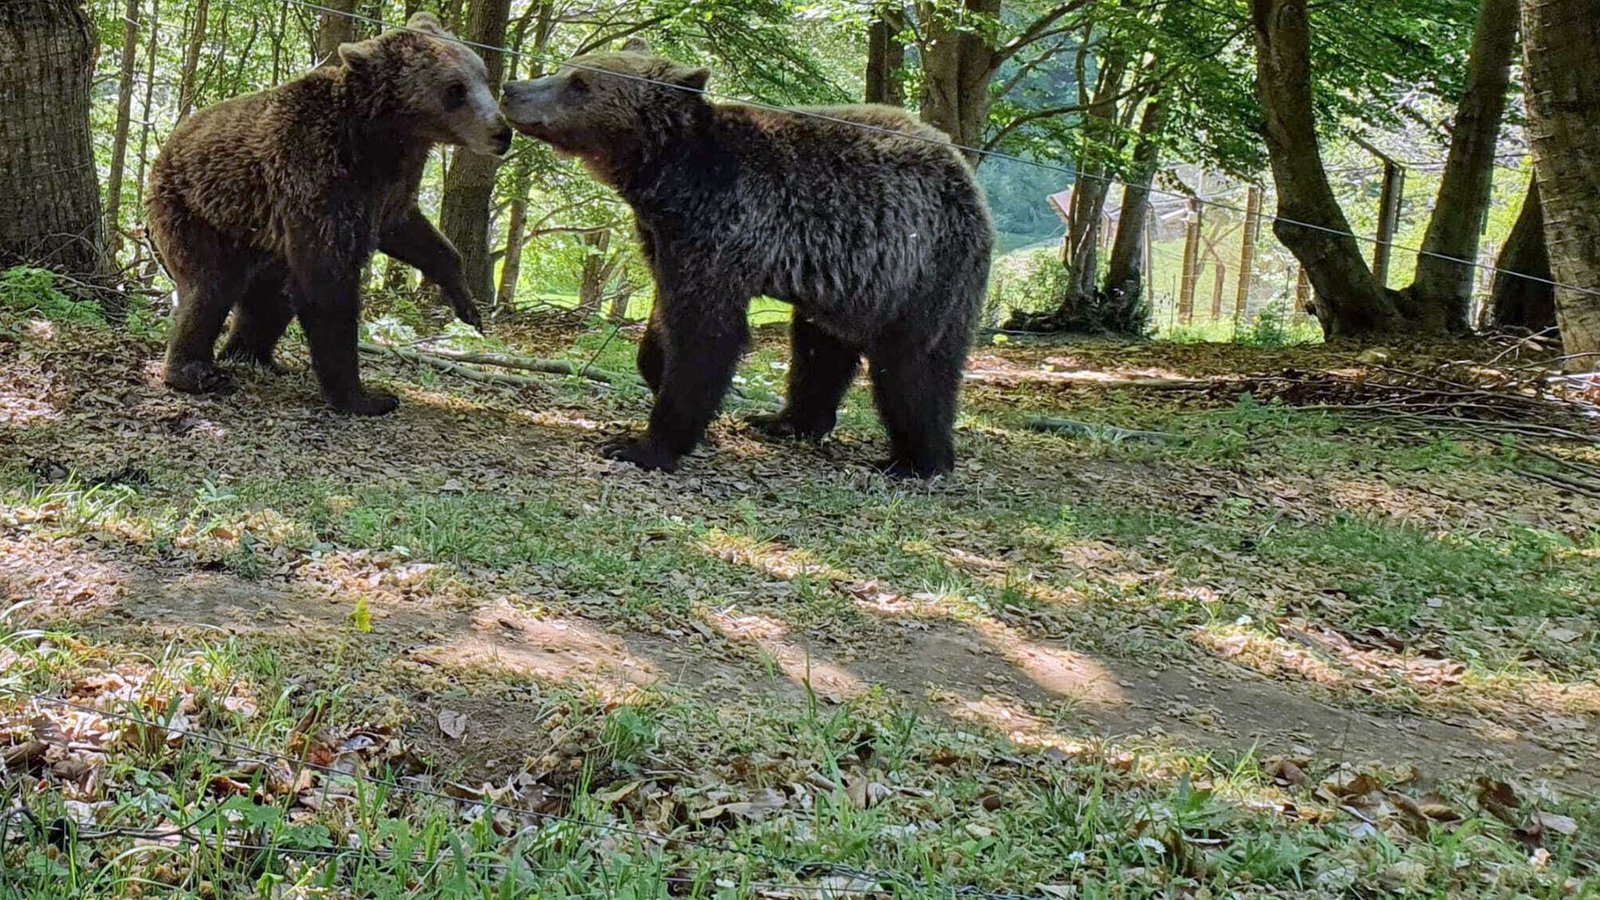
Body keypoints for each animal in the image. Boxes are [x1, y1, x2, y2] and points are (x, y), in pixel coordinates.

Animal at [146, 13, 511, 415]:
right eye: (455, 89)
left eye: (482, 76)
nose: (502, 132)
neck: (384, 137)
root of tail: (167, 147)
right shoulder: (317, 176)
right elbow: (328, 282)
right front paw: (365, 396)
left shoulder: (390, 187)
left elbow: (413, 234)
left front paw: (468, 306)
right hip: (202, 212)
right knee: (210, 288)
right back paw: (196, 371)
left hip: (264, 238)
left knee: (270, 297)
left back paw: (254, 356)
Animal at [500, 42, 993, 477]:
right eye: (568, 68)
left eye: (579, 83)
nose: (512, 88)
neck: (667, 177)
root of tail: (964, 170)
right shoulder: (663, 237)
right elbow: (665, 318)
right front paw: (658, 372)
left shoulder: (723, 227)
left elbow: (706, 334)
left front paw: (645, 443)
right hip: (848, 286)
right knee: (819, 350)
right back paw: (787, 421)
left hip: (922, 268)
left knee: (914, 368)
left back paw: (917, 460)